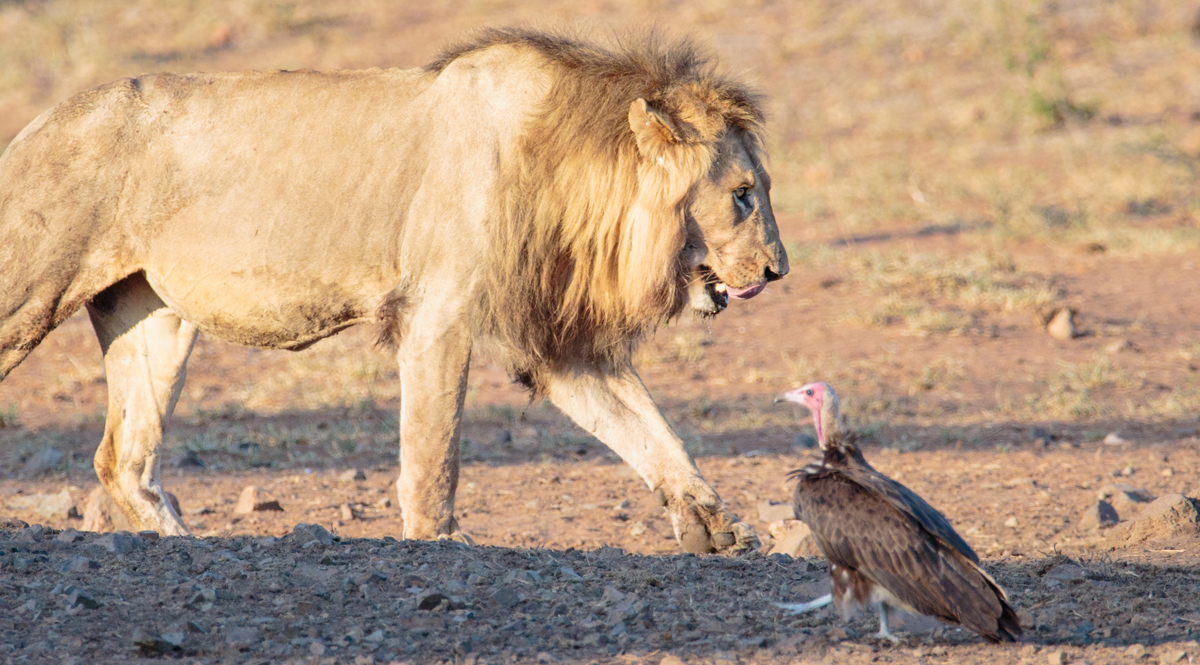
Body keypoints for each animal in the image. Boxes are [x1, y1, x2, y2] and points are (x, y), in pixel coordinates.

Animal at [0, 28, 787, 552]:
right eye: (744, 195)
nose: (779, 270)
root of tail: (33, 126)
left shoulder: (556, 342)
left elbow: (651, 430)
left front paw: (715, 523)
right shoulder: (437, 314)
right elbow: (433, 454)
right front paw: (435, 543)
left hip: (154, 316)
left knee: (122, 460)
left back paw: (184, 543)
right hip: (29, 295)